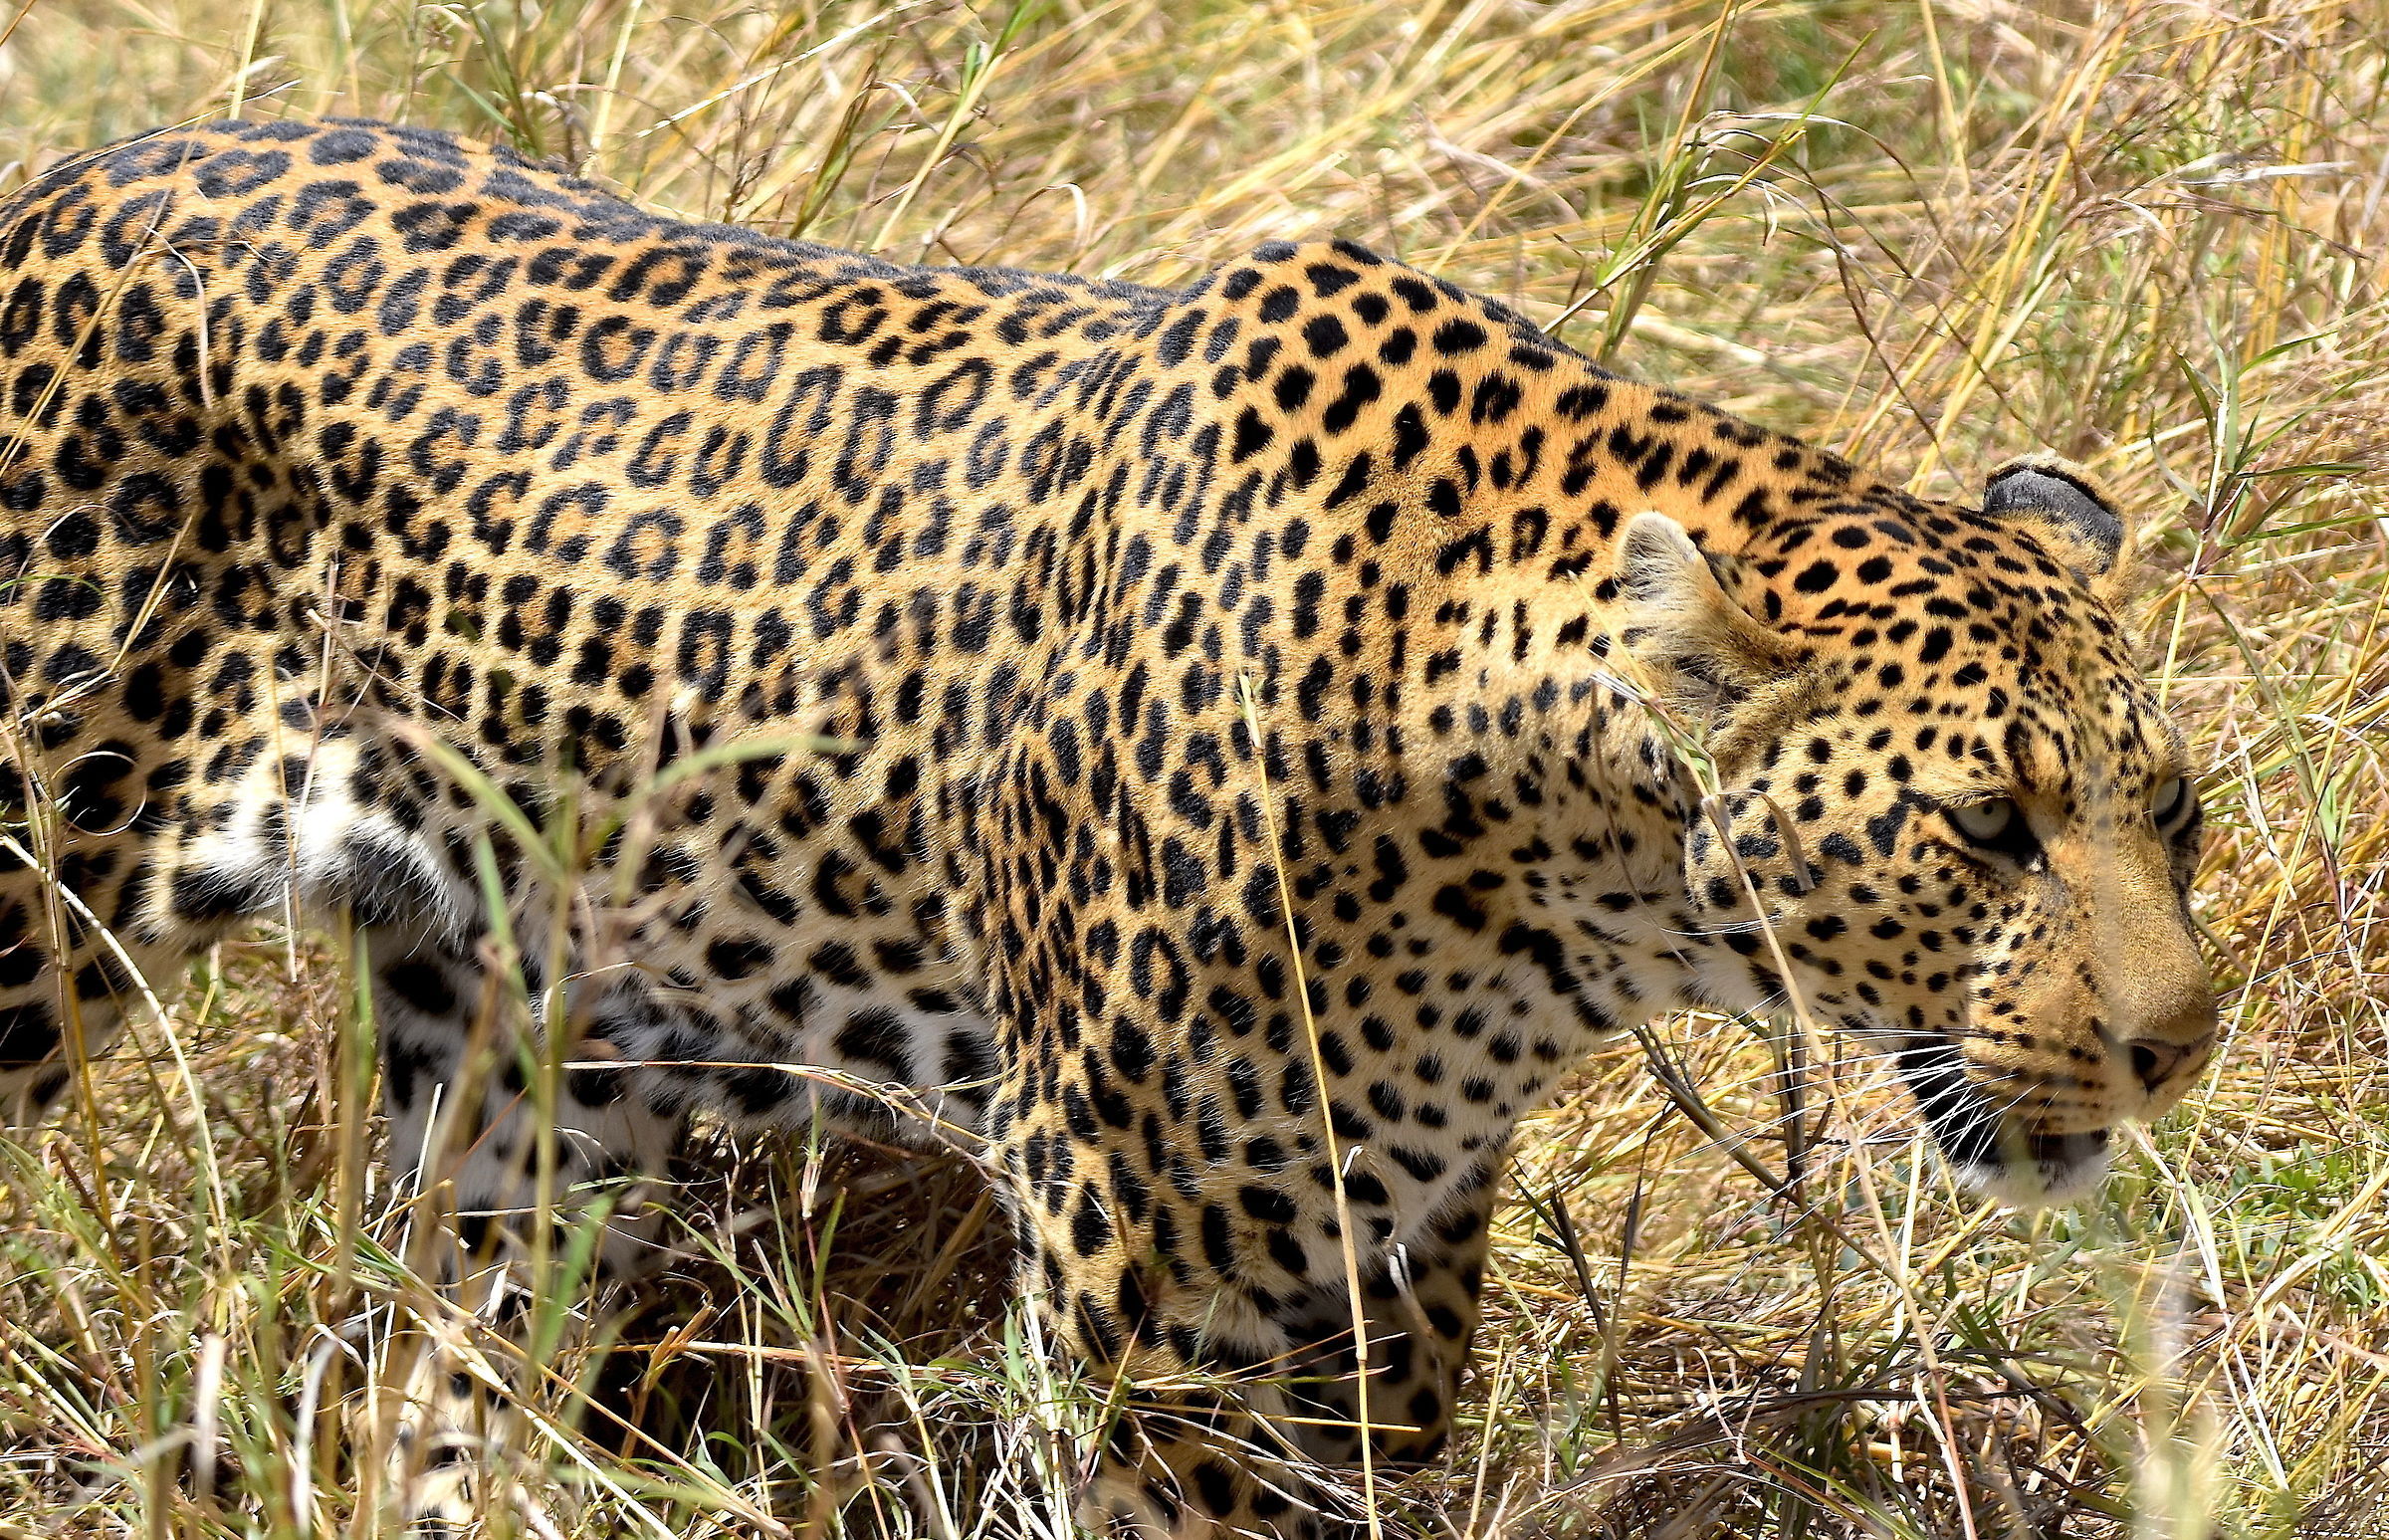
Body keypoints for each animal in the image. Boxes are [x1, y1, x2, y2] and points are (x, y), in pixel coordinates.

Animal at [0, 115, 2217, 1537]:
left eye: (2173, 814)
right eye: (1990, 827)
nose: (2176, 1047)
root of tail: (74, 168)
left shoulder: (1392, 1240)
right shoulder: (1147, 1242)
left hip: (525, 1074)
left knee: (434, 1374)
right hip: (41, 891)